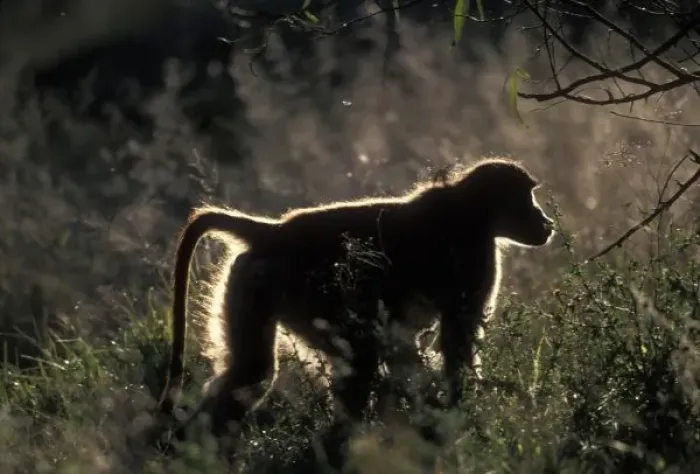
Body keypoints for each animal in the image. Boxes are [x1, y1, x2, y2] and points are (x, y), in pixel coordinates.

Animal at [156, 157, 555, 455]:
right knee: (354, 361)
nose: (547, 222)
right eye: (527, 197)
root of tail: (273, 230)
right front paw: (462, 413)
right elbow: (457, 342)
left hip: (256, 284)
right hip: (310, 293)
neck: (471, 210)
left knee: (251, 373)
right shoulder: (476, 258)